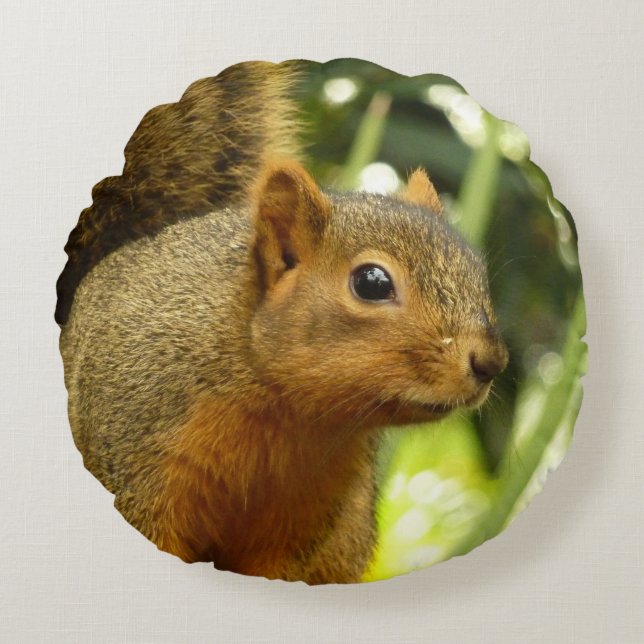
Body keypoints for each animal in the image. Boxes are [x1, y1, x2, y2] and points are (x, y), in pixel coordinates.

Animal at [57, 60, 508, 585]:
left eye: (477, 272)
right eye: (372, 282)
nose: (491, 362)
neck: (290, 415)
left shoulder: (307, 521)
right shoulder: (137, 461)